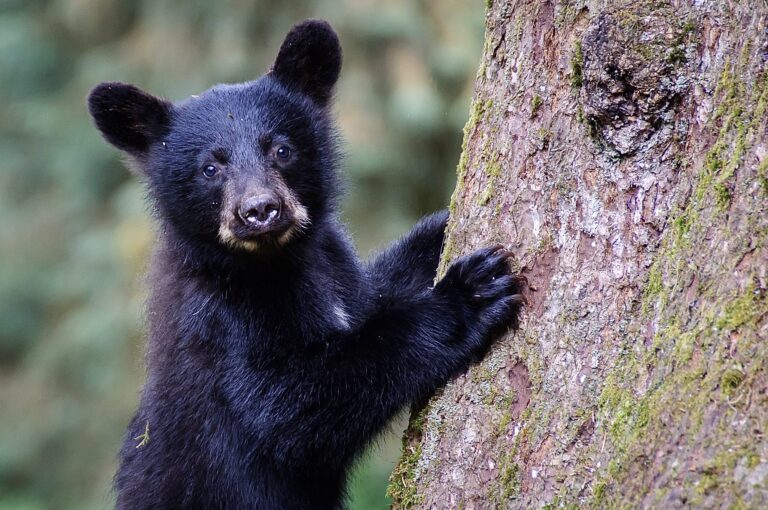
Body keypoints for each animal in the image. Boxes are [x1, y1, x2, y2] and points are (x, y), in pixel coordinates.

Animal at [88, 19, 524, 510]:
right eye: (210, 168)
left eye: (281, 149)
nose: (260, 210)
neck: (281, 261)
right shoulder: (223, 321)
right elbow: (291, 405)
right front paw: (470, 294)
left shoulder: (335, 269)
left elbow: (377, 290)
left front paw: (441, 228)